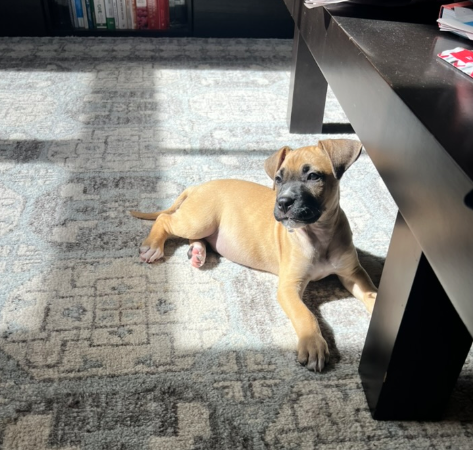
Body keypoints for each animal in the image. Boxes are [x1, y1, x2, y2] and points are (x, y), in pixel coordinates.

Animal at [130, 139, 377, 372]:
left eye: (313, 176)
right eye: (279, 179)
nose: (283, 202)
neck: (319, 234)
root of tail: (198, 187)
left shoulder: (352, 273)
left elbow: (370, 291)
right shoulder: (289, 286)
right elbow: (305, 314)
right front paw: (313, 344)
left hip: (203, 226)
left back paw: (198, 252)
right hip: (199, 220)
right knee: (164, 219)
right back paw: (153, 246)